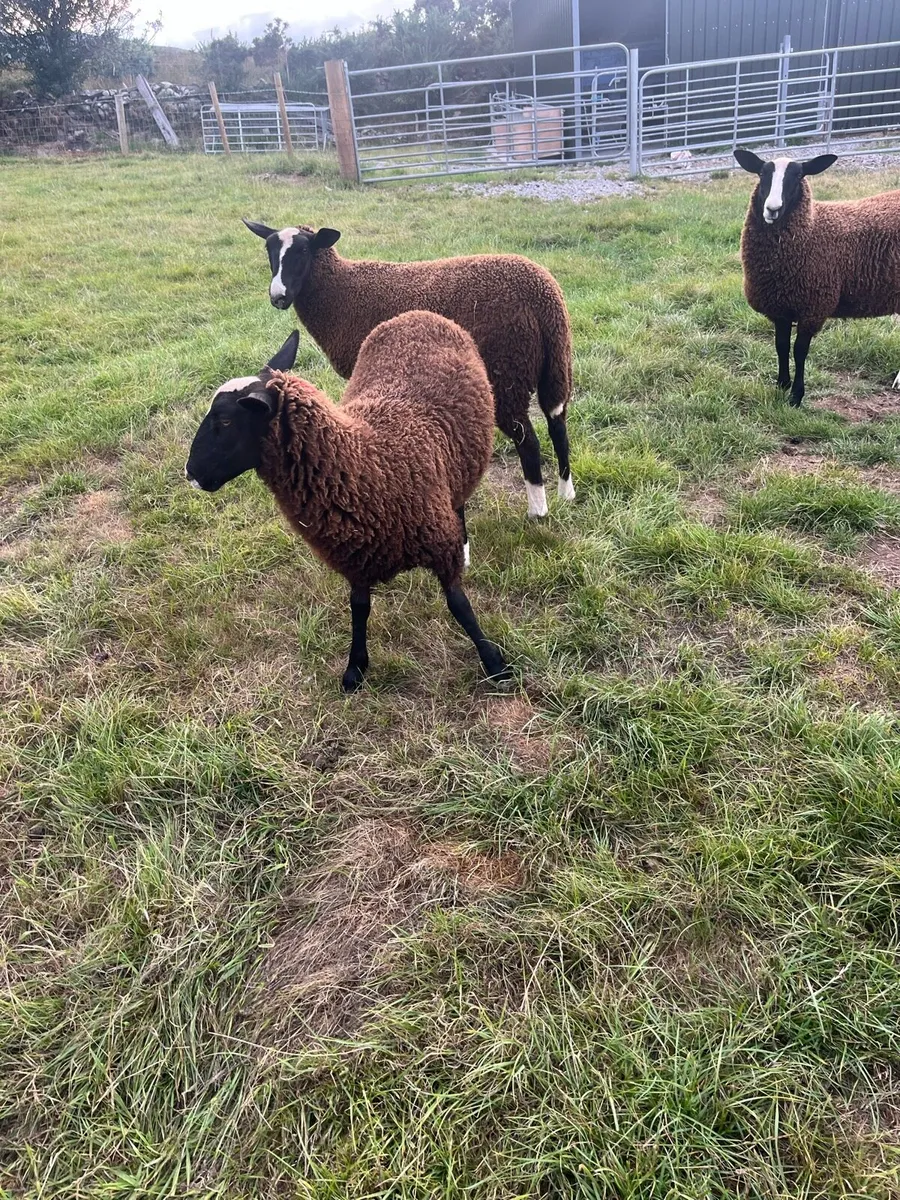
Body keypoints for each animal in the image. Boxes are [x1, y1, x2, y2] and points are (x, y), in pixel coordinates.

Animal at [185, 312, 512, 692]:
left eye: (225, 420)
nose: (190, 472)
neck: (367, 460)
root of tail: (416, 314)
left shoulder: (438, 542)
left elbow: (459, 605)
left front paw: (494, 662)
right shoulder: (355, 555)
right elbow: (359, 608)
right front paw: (355, 668)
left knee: (458, 506)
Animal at [241, 219, 575, 519]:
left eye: (303, 251)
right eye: (269, 251)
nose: (278, 297)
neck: (341, 293)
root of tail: (543, 297)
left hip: (508, 371)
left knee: (528, 440)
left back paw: (537, 510)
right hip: (556, 365)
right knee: (557, 423)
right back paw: (566, 494)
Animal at [735, 148, 900, 406]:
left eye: (799, 175)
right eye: (762, 174)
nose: (772, 209)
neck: (812, 228)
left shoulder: (812, 307)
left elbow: (799, 351)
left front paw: (796, 396)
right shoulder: (780, 306)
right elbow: (781, 346)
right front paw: (781, 384)